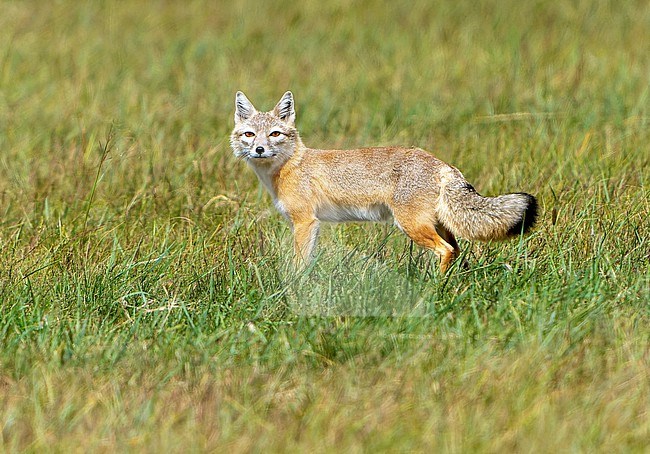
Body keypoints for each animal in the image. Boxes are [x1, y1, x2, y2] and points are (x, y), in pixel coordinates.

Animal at [230, 90, 536, 272]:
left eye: (275, 134)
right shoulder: (311, 224)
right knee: (456, 249)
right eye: (249, 134)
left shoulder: (305, 222)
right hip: (436, 224)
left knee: (446, 250)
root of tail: (442, 164)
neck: (289, 167)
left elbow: (299, 265)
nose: (259, 149)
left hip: (412, 225)